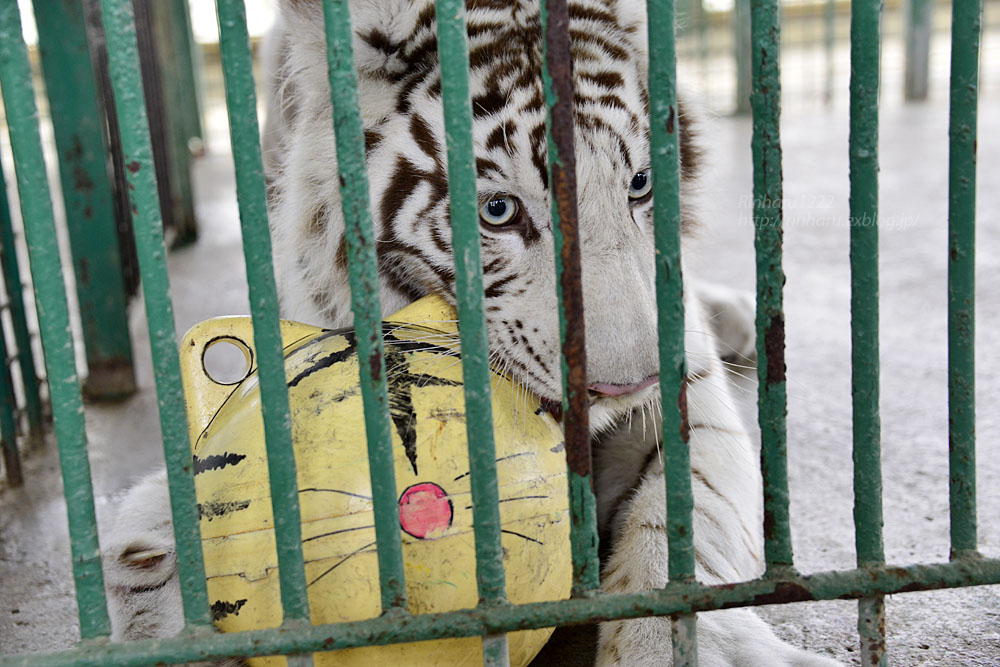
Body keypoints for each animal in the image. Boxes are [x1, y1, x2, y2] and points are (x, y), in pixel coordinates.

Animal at [103, 2, 844, 664]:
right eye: (498, 211)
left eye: (639, 184)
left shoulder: (693, 398)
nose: (631, 383)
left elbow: (681, 530)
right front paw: (155, 594)